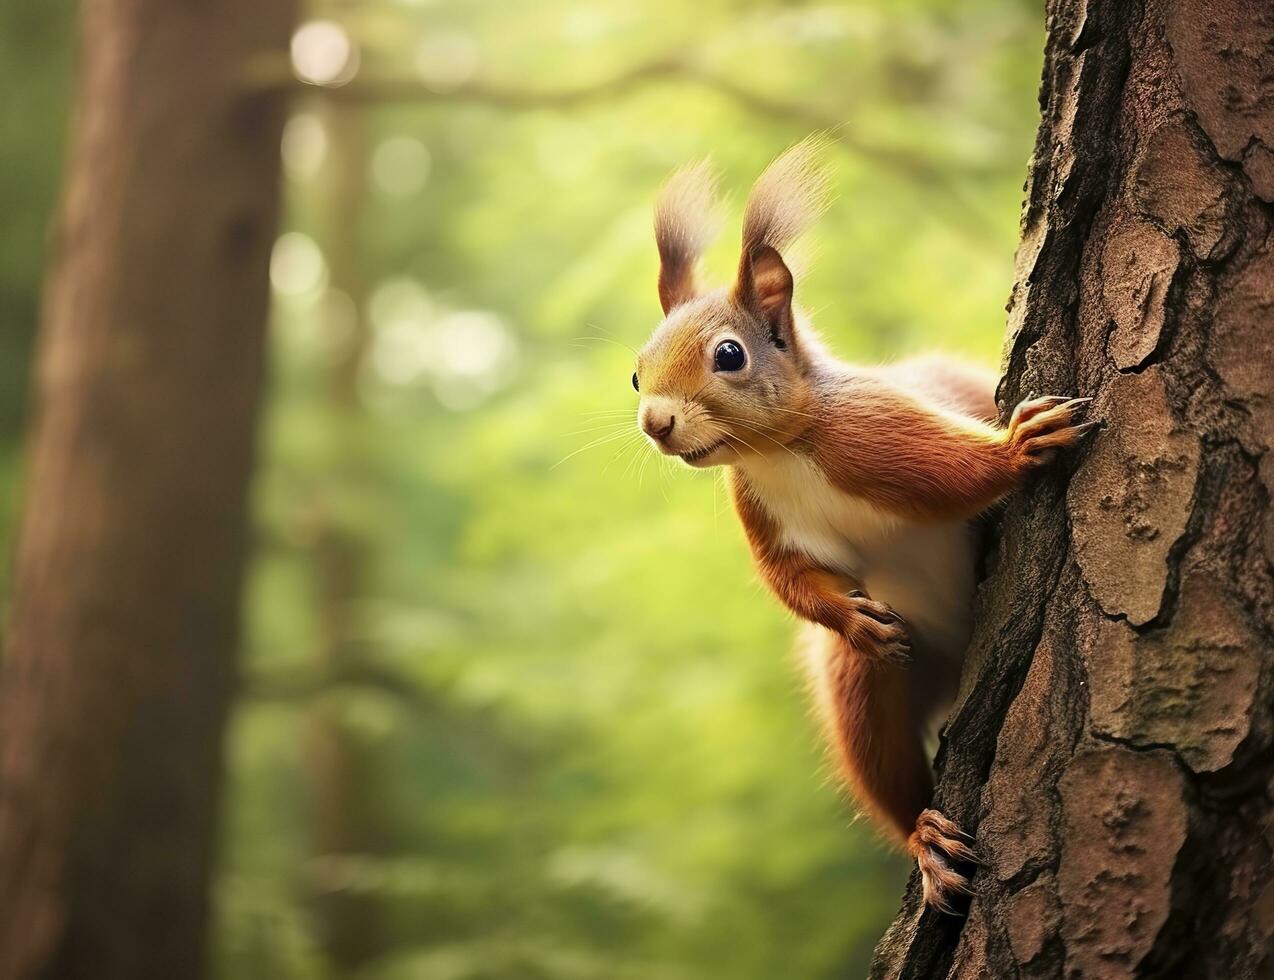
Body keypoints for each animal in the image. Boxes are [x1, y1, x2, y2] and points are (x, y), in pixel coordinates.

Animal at [631, 141, 1090, 912]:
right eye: (637, 374)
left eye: (729, 355)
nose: (654, 422)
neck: (779, 453)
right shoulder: (758, 512)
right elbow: (787, 579)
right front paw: (847, 617)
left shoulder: (871, 433)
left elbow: (947, 473)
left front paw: (1015, 448)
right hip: (872, 684)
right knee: (879, 745)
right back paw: (925, 838)